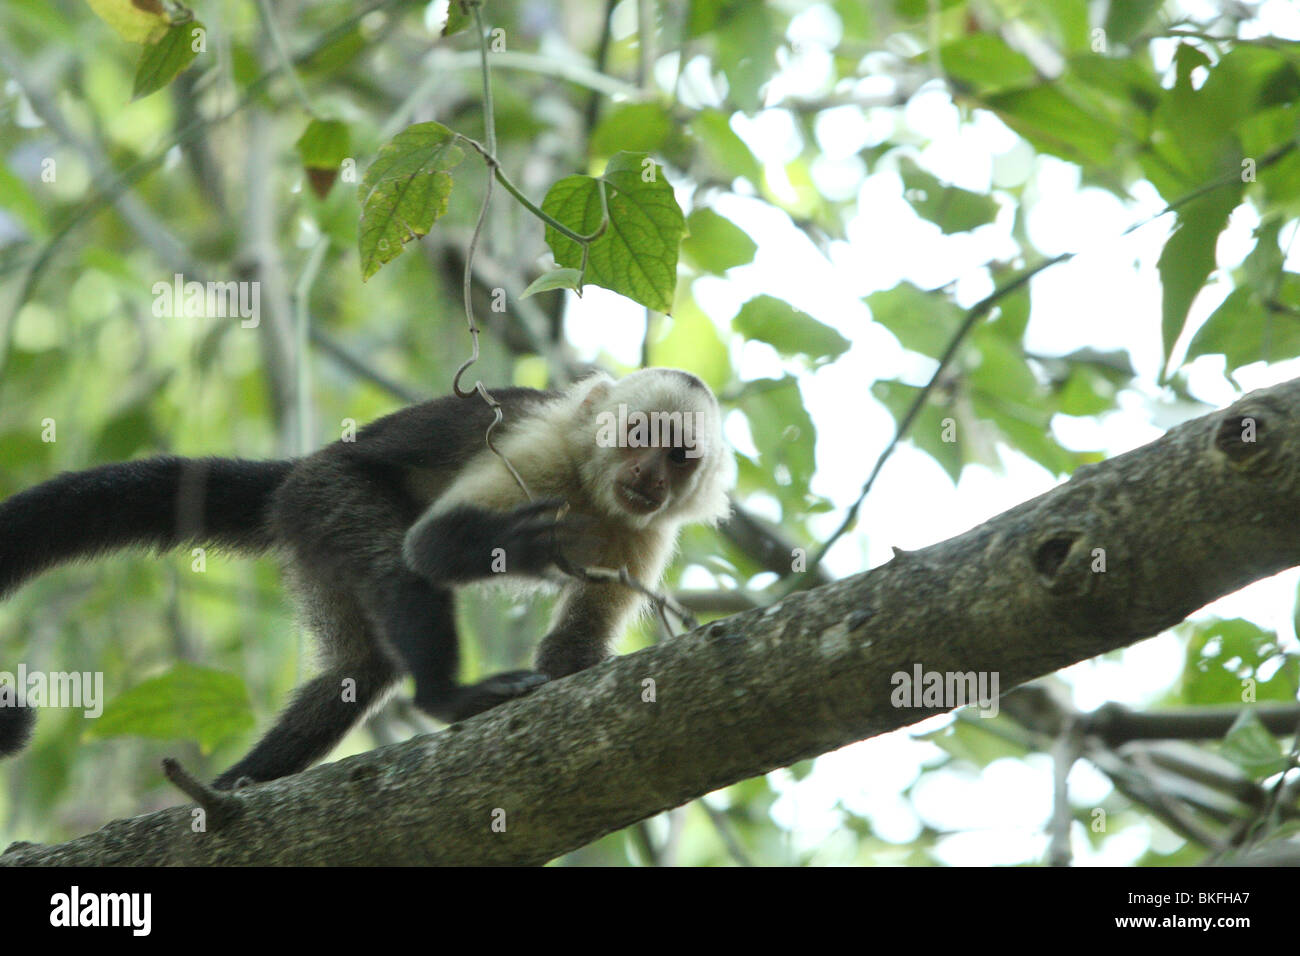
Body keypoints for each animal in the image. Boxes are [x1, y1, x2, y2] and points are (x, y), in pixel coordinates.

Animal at [0, 368, 734, 789]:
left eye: (678, 454)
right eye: (637, 433)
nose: (647, 477)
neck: (593, 490)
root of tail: (299, 471)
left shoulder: (646, 533)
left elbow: (570, 650)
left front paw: (572, 667)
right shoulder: (541, 453)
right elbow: (429, 547)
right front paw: (520, 547)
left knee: (361, 668)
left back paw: (241, 784)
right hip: (330, 494)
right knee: (392, 562)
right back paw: (446, 697)